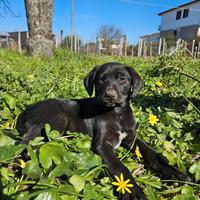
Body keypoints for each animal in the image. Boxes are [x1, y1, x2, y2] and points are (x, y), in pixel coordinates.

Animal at [16, 62, 189, 200]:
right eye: (101, 79)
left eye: (122, 79)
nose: (110, 95)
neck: (116, 113)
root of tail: (25, 111)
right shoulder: (102, 145)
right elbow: (120, 167)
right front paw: (133, 191)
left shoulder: (132, 138)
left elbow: (151, 152)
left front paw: (175, 173)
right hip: (56, 120)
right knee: (24, 143)